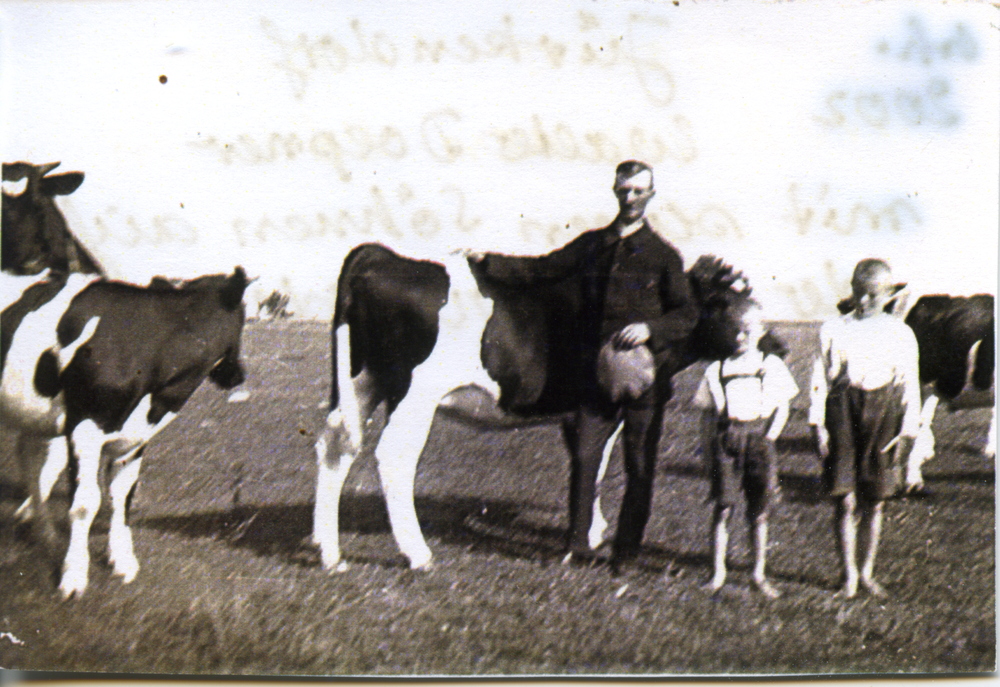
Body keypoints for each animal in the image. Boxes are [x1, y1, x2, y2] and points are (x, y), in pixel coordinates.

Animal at [0, 266, 250, 600]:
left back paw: (42, 531)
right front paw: (74, 576)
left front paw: (123, 561)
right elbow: (85, 503)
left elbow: (122, 497)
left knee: (31, 460)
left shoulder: (135, 437)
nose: (238, 374)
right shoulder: (85, 427)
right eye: (244, 317)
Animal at [312, 245, 764, 572]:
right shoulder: (598, 407)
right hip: (414, 393)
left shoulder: (584, 414)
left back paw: (329, 552)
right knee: (392, 458)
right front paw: (586, 538)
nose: (759, 335)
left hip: (363, 380)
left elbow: (594, 468)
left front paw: (594, 529)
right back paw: (417, 554)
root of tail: (382, 255)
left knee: (334, 446)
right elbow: (593, 463)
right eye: (722, 302)